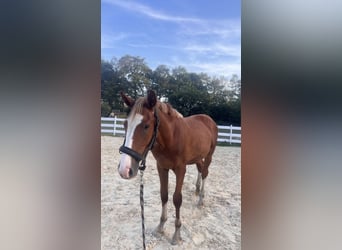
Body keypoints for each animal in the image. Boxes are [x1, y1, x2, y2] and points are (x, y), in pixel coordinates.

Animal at [117, 89, 219, 244]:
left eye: (146, 126)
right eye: (125, 124)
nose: (125, 169)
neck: (171, 138)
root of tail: (209, 120)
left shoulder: (181, 169)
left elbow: (177, 199)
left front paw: (176, 234)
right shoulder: (162, 167)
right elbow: (164, 195)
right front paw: (161, 226)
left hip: (209, 155)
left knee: (205, 172)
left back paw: (201, 198)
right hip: (196, 157)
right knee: (200, 169)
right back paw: (196, 189)